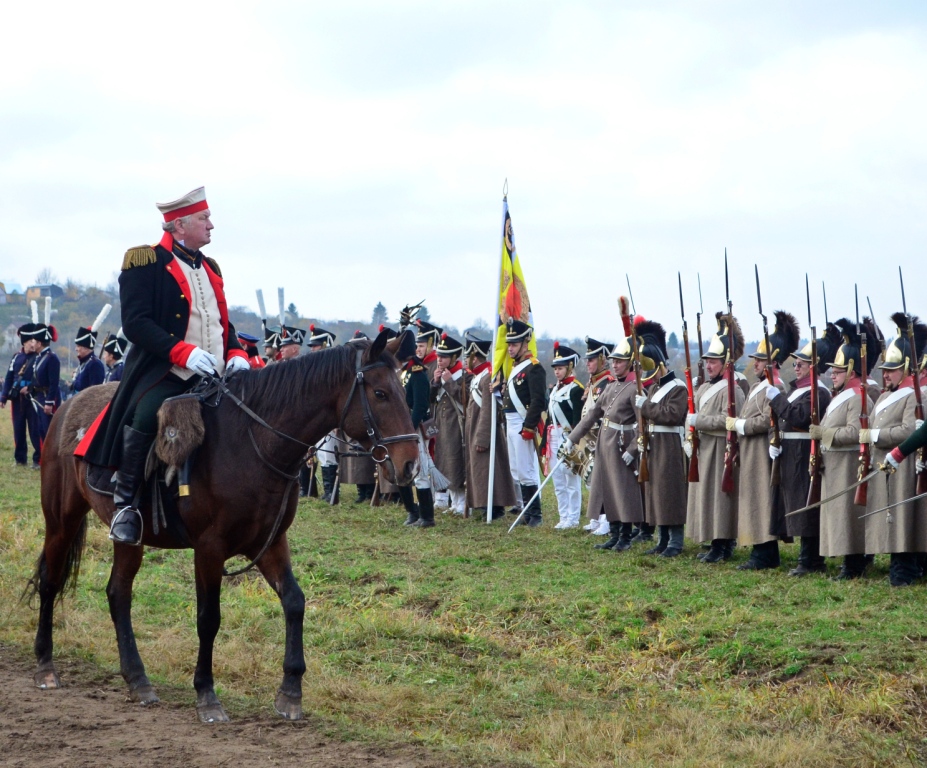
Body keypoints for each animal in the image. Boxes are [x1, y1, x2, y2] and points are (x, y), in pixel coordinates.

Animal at [27, 332, 416, 724]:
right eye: (380, 393)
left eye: (402, 390)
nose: (411, 464)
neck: (253, 441)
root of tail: (68, 405)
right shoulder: (209, 549)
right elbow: (208, 617)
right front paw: (206, 694)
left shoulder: (270, 543)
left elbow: (294, 602)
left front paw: (290, 691)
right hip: (61, 519)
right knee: (50, 581)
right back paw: (45, 665)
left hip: (129, 538)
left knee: (118, 593)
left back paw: (138, 679)